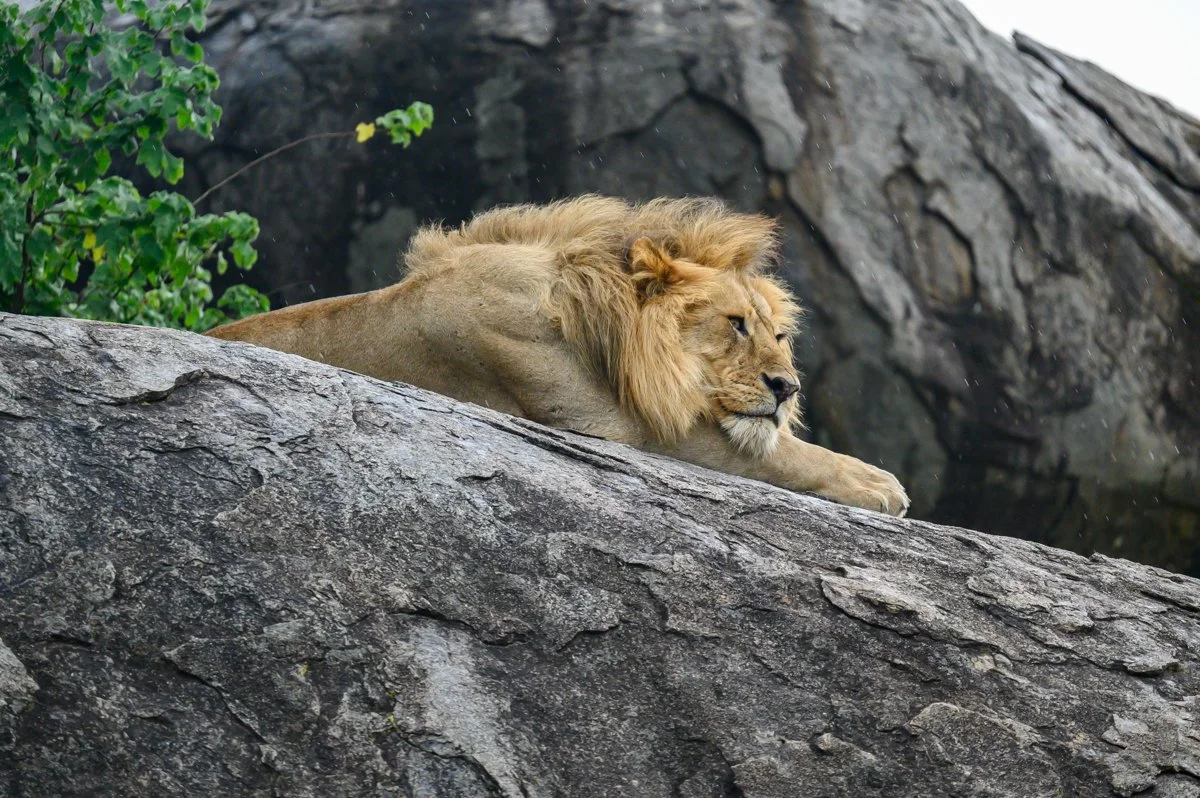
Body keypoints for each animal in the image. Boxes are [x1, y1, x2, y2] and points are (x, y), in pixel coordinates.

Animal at [208, 195, 909, 515]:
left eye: (779, 335)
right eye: (735, 324)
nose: (787, 388)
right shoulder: (617, 426)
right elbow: (772, 453)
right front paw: (879, 484)